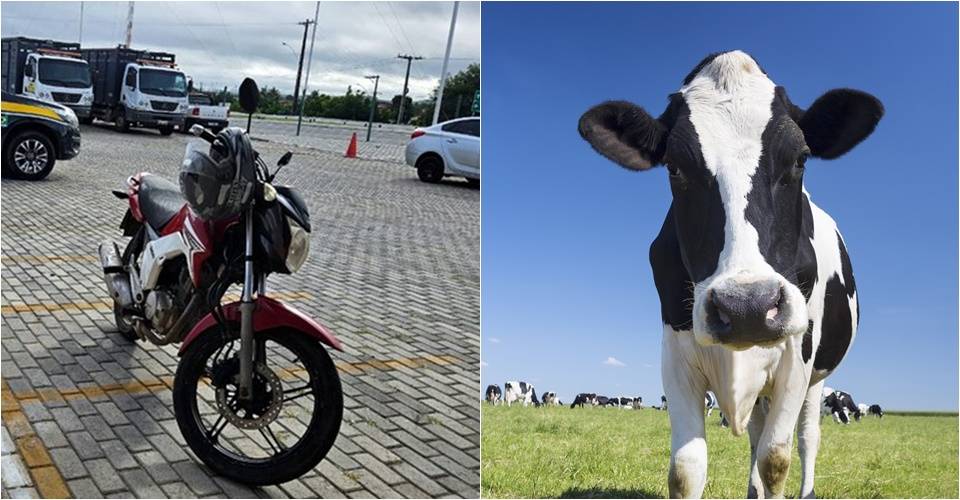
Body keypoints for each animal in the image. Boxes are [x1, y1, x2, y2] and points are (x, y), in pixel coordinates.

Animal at [576, 48, 884, 498]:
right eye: (673, 167)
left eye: (800, 158)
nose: (747, 307)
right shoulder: (675, 354)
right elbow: (686, 468)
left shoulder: (797, 358)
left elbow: (776, 459)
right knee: (755, 433)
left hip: (818, 381)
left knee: (807, 437)